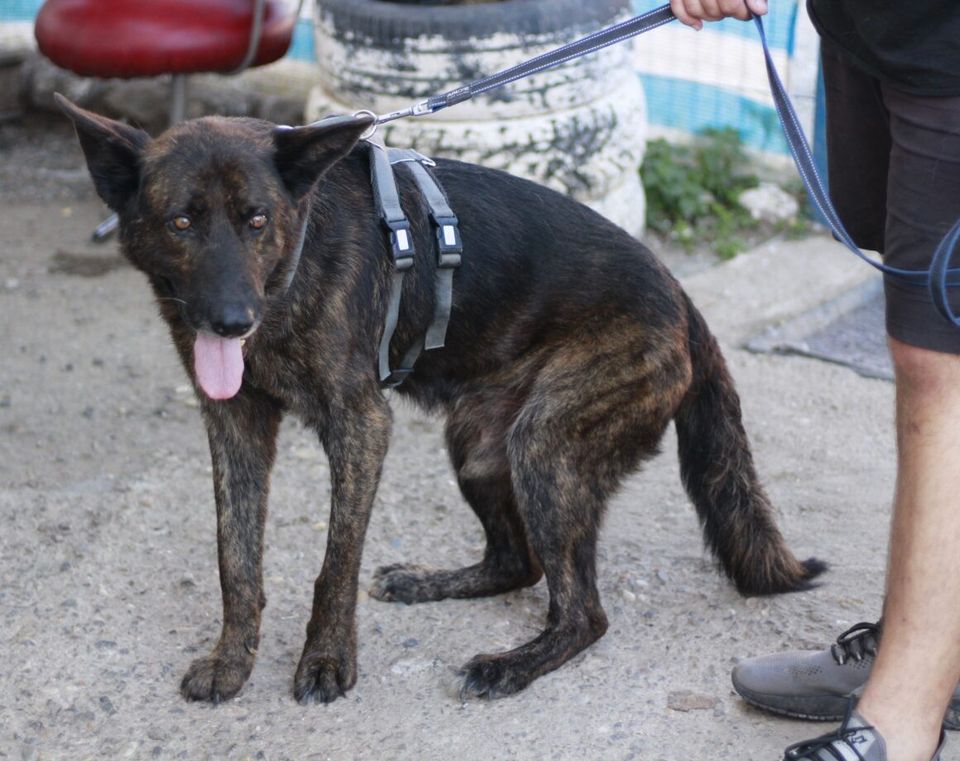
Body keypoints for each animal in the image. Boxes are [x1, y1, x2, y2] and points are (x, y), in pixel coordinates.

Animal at [58, 95, 824, 708]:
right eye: (182, 222)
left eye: (256, 219)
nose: (230, 321)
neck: (295, 260)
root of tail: (683, 299)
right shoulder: (235, 425)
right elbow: (236, 559)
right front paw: (232, 659)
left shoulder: (361, 426)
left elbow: (335, 562)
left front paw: (327, 660)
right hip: (478, 446)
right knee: (519, 562)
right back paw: (428, 583)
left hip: (545, 446)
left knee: (584, 612)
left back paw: (511, 665)